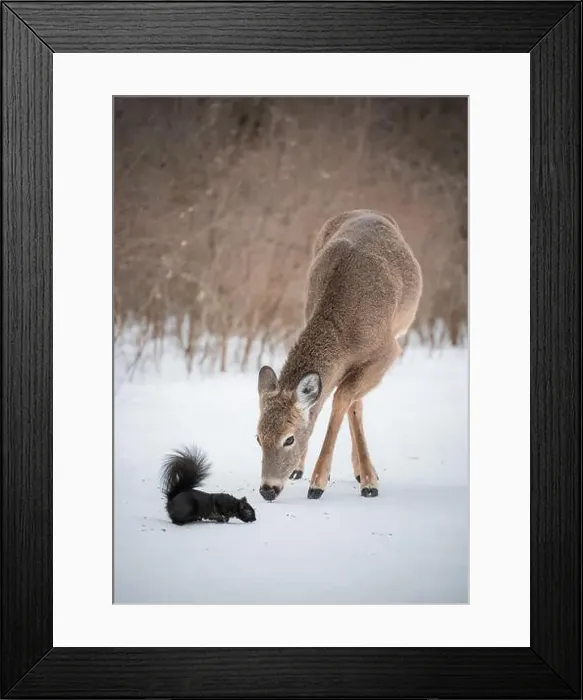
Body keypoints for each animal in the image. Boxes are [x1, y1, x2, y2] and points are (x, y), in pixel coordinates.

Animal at [256, 209, 422, 502]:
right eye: (257, 438)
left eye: (289, 438)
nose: (267, 489)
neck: (344, 332)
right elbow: (338, 402)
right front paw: (361, 477)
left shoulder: (388, 352)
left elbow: (342, 399)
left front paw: (323, 483)